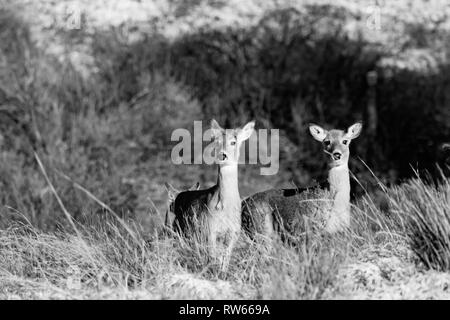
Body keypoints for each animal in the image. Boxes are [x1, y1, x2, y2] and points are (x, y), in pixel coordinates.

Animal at [170, 119, 255, 268]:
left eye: (233, 141)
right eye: (216, 141)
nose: (222, 155)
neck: (225, 207)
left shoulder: (234, 233)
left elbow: (225, 261)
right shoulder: (210, 230)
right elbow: (213, 258)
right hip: (179, 229)